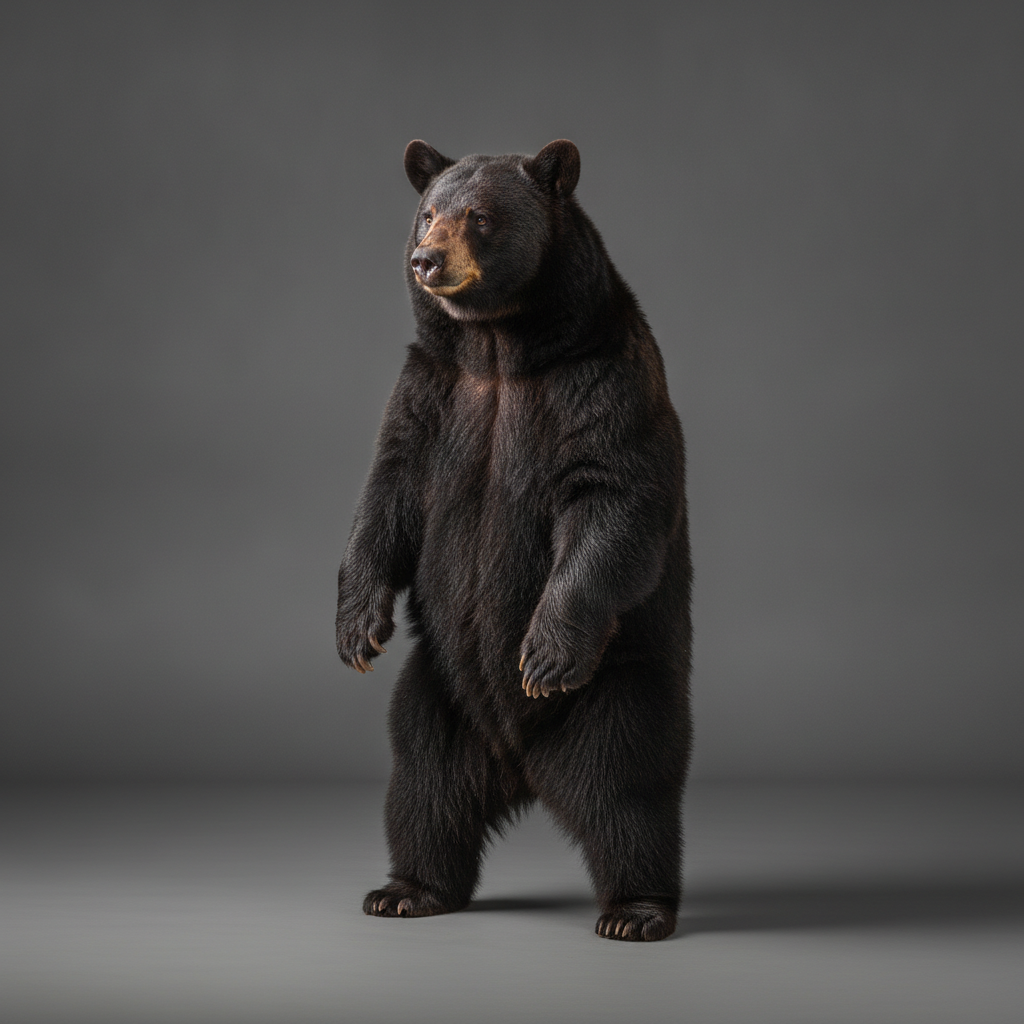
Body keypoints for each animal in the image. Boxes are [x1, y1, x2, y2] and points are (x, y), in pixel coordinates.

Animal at [335, 139, 692, 941]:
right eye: (427, 212)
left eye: (479, 216)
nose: (426, 260)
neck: (498, 343)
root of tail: (518, 763)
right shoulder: (428, 386)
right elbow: (389, 489)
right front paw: (356, 626)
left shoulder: (603, 377)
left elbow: (611, 496)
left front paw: (546, 650)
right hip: (437, 692)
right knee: (420, 787)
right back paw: (407, 889)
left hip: (618, 690)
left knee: (629, 794)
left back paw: (637, 909)